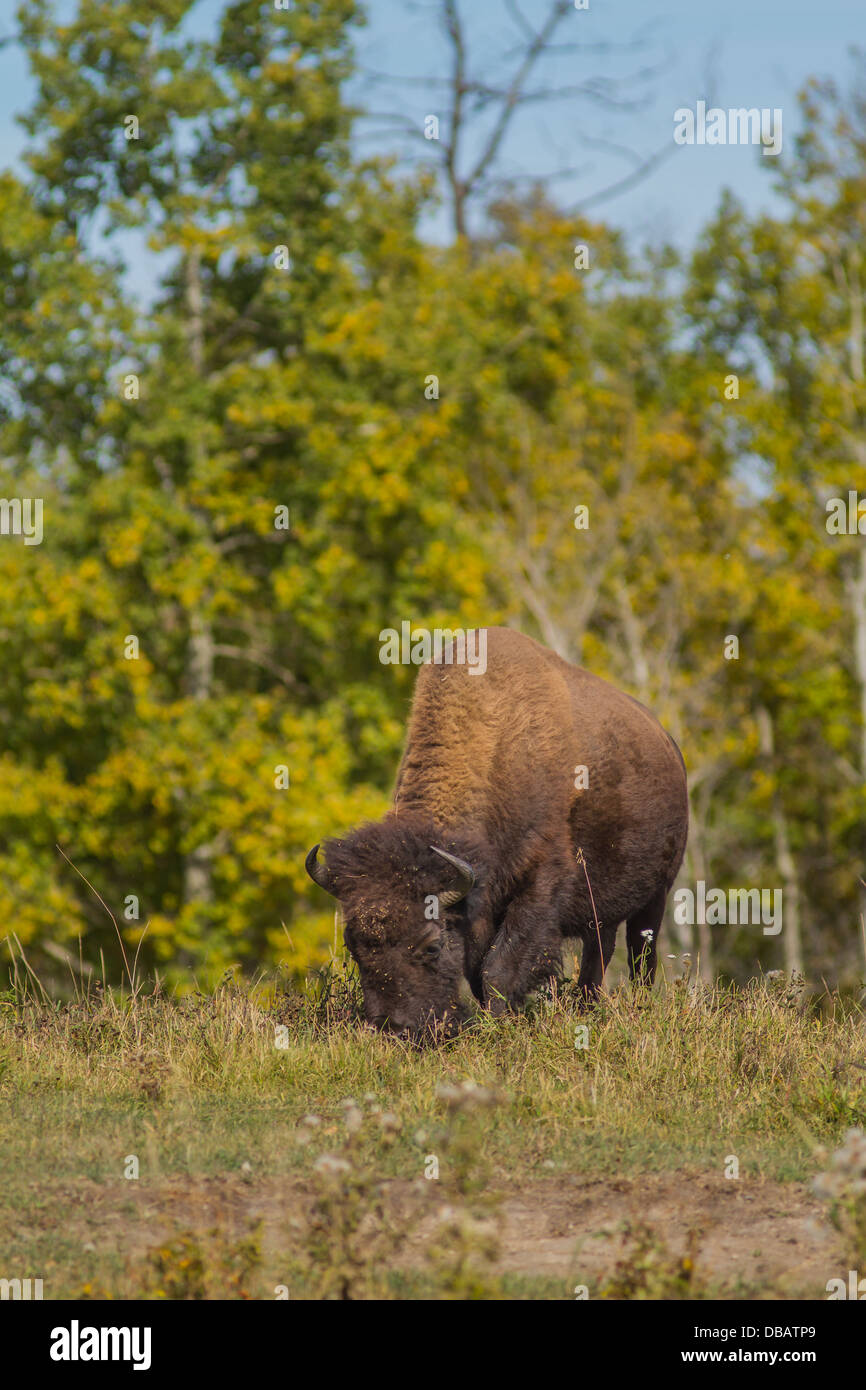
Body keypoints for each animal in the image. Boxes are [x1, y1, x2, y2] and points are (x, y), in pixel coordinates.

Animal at [304, 625, 692, 1039]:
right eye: (353, 945)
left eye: (432, 946)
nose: (396, 1028)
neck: (496, 744)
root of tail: (670, 747)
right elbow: (479, 970)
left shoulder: (539, 886)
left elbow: (498, 969)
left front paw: (498, 1025)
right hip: (601, 914)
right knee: (598, 956)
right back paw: (587, 1009)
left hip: (656, 897)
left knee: (641, 958)